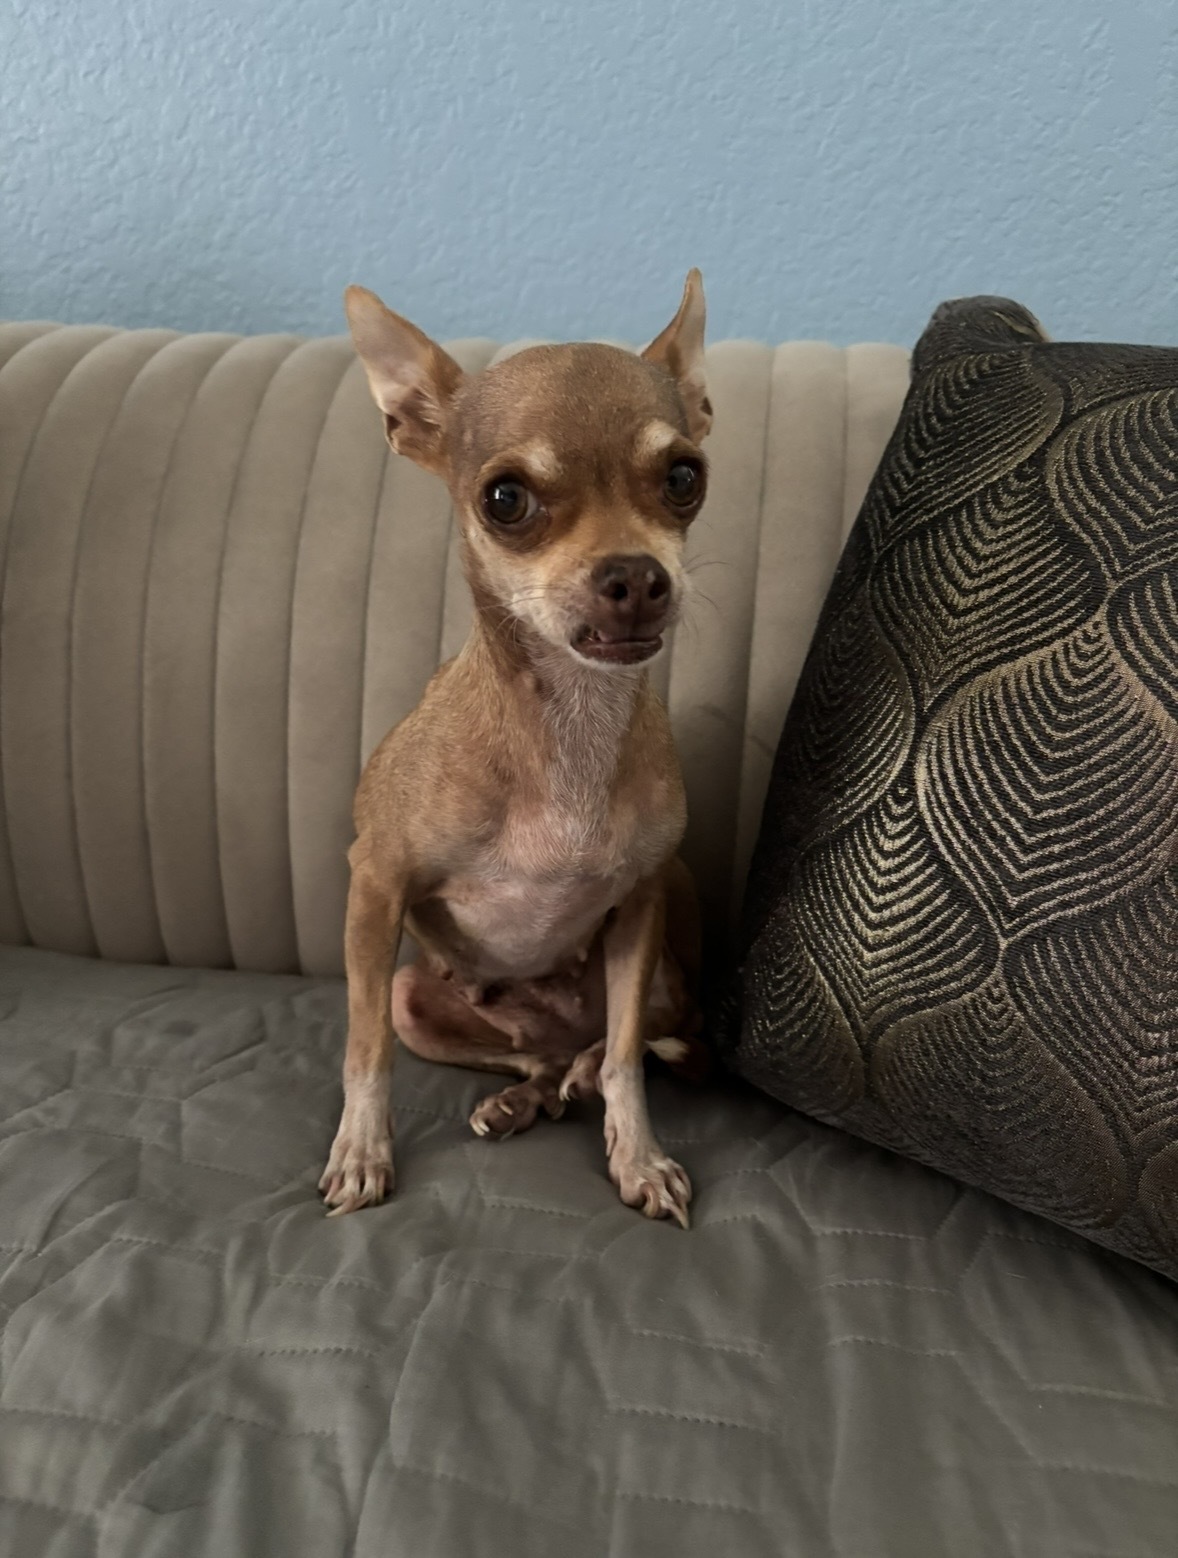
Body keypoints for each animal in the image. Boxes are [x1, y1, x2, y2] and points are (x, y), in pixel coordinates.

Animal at [319, 271, 713, 1227]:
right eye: (506, 499)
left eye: (685, 477)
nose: (637, 575)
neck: (568, 726)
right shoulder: (374, 889)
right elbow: (364, 1050)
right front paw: (362, 1151)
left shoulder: (641, 905)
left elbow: (629, 1061)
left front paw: (639, 1156)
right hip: (416, 993)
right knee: (529, 1055)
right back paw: (523, 1096)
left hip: (661, 968)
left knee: (627, 1042)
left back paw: (576, 1075)